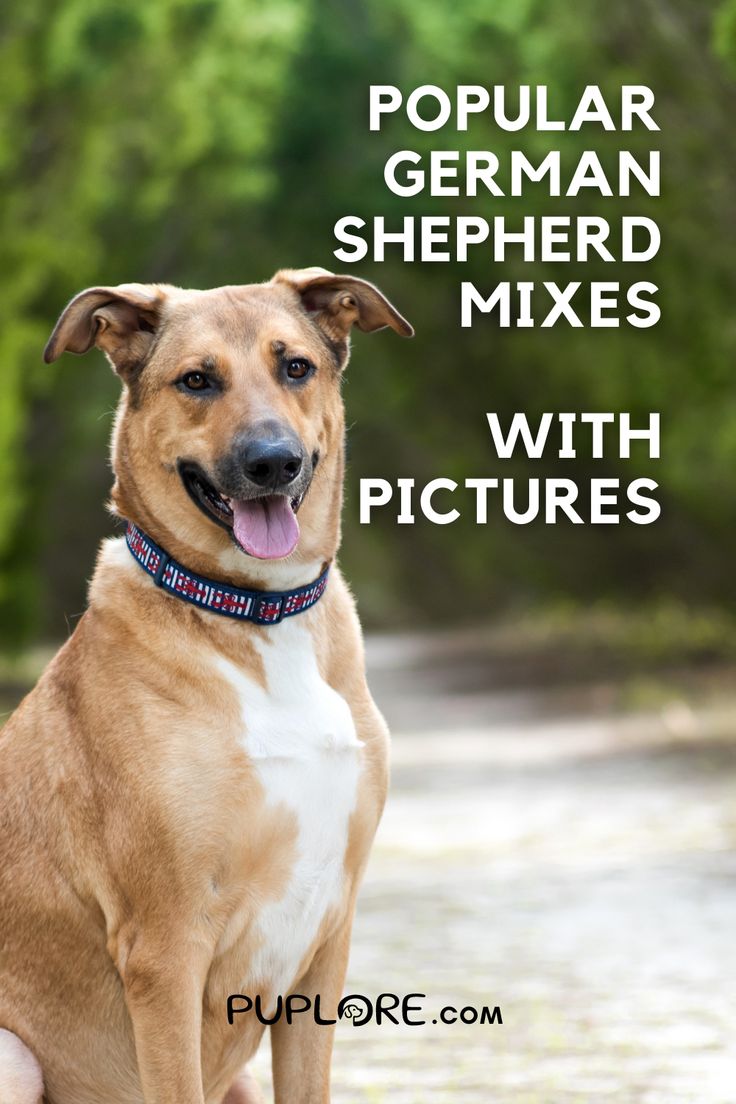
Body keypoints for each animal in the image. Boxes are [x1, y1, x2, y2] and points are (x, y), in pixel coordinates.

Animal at [0, 269, 414, 1104]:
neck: (255, 613)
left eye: (295, 367)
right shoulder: (165, 951)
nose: (272, 463)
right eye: (197, 380)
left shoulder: (327, 938)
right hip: (13, 1051)